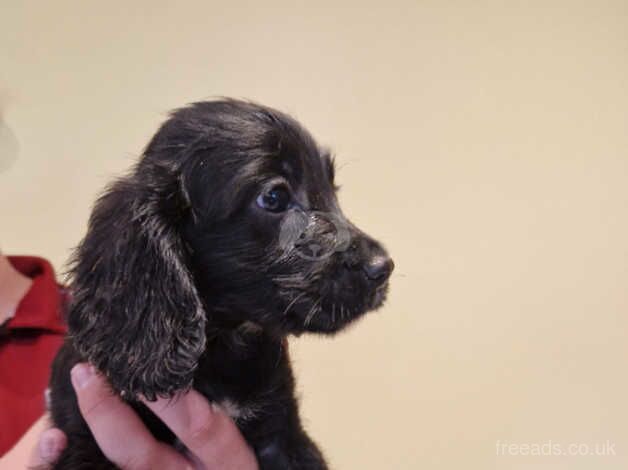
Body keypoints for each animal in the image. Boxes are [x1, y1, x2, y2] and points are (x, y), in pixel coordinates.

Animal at [47, 98, 392, 466]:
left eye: (332, 188)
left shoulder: (282, 433)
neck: (224, 343)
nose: (383, 267)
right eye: (274, 198)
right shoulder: (83, 441)